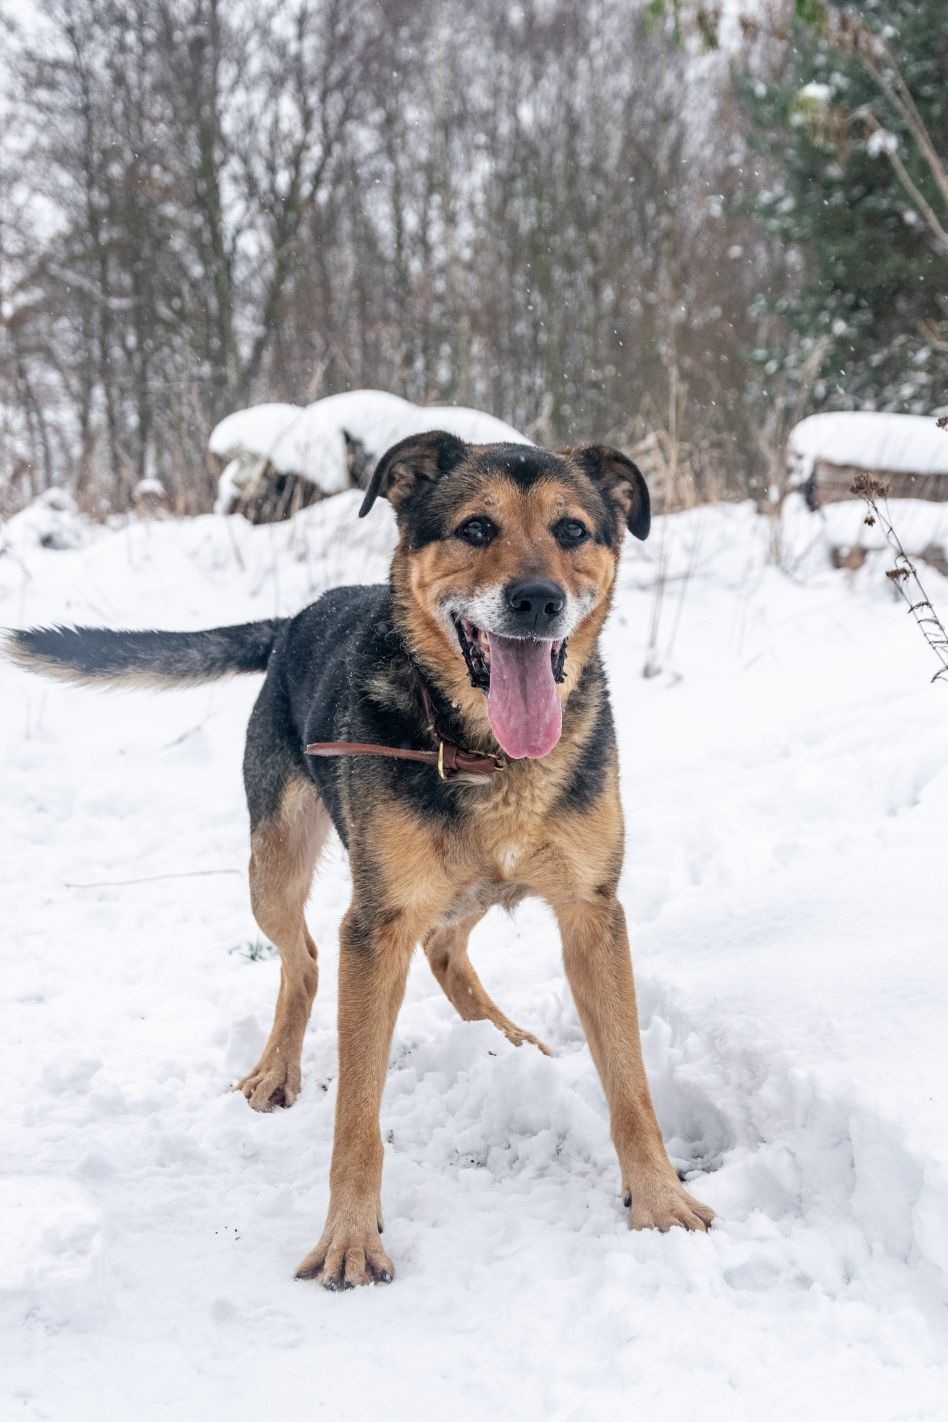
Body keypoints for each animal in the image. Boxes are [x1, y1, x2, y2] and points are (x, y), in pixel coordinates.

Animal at [7, 432, 710, 1291]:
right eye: (477, 528)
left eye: (572, 530)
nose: (539, 600)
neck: (485, 751)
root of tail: (292, 621)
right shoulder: (376, 928)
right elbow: (356, 1118)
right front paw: (349, 1237)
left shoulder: (592, 911)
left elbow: (631, 1086)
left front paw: (659, 1200)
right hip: (275, 868)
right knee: (304, 960)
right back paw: (279, 1069)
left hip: (464, 888)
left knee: (446, 950)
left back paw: (510, 1040)